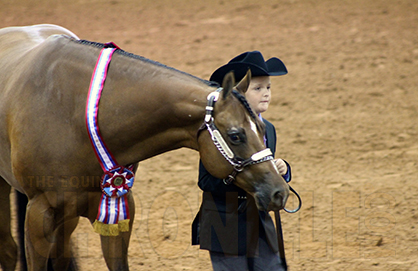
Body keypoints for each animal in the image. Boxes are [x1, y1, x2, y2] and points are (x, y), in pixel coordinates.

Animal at [0, 24, 290, 270]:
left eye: (262, 128)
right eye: (235, 135)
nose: (279, 192)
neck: (72, 111)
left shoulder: (114, 206)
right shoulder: (40, 214)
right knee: (9, 250)